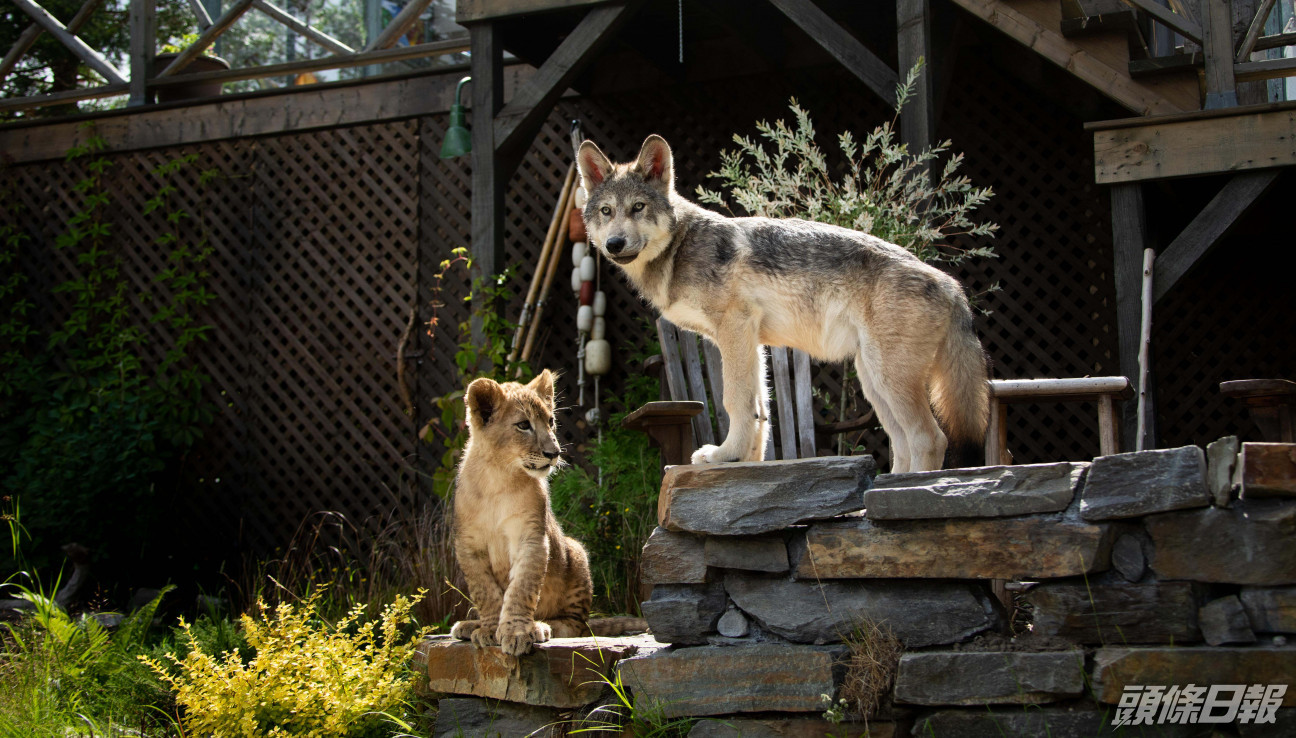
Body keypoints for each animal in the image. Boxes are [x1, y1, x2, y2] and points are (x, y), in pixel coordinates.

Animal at [578, 133, 990, 472]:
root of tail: (952, 285)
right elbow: (760, 409)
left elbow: (735, 401)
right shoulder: (752, 341)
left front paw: (724, 456)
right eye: (606, 211)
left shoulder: (735, 329)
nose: (614, 244)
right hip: (874, 381)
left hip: (888, 379)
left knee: (930, 439)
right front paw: (746, 462)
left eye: (638, 207)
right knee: (902, 443)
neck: (680, 247)